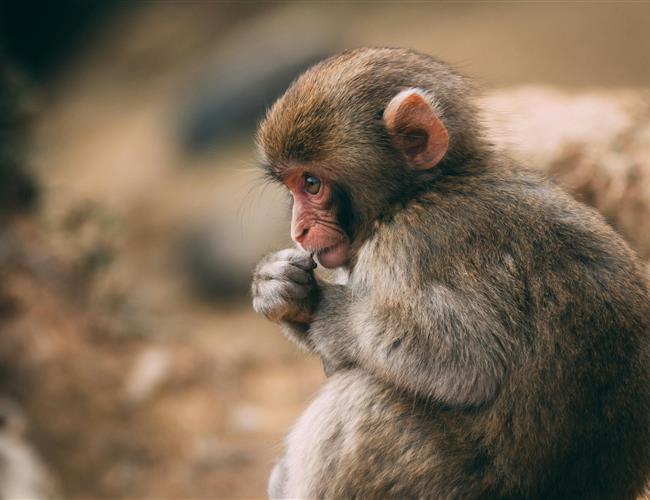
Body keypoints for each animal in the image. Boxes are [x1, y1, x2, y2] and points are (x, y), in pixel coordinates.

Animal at [251, 47, 650, 499]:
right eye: (292, 187)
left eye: (312, 183)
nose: (298, 230)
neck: (420, 192)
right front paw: (279, 288)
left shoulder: (412, 243)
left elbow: (466, 360)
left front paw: (327, 311)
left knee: (362, 400)